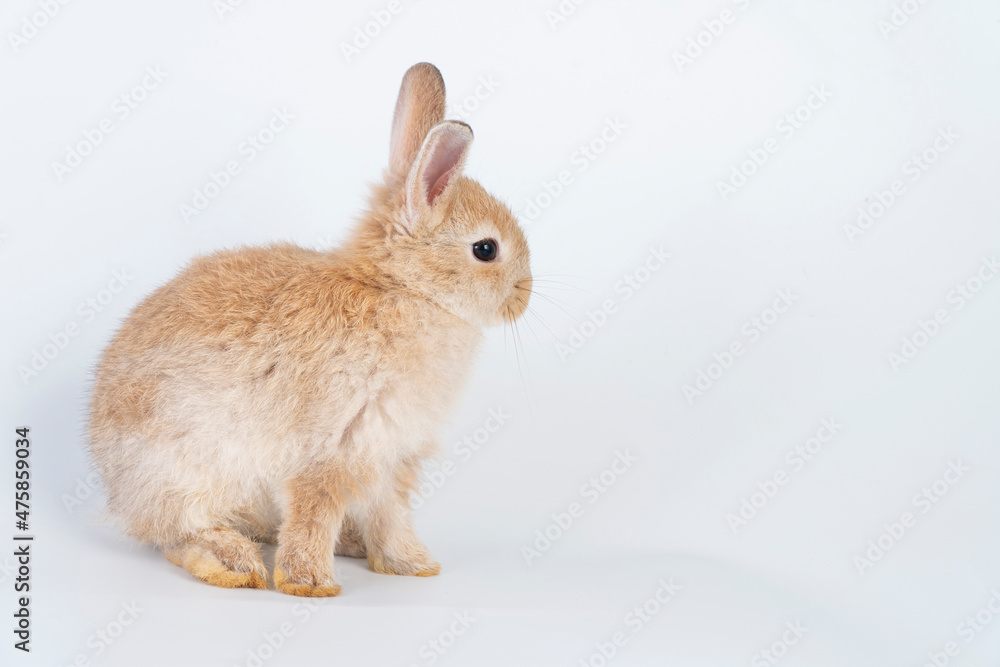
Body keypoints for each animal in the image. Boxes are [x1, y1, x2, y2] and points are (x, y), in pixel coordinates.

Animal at [88, 62, 532, 597]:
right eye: (486, 249)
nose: (525, 294)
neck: (402, 289)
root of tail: (114, 485)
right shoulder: (329, 448)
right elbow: (313, 514)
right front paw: (310, 584)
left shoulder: (392, 456)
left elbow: (391, 517)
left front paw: (413, 566)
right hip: (181, 474)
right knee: (177, 534)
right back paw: (235, 562)